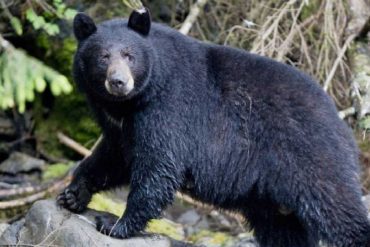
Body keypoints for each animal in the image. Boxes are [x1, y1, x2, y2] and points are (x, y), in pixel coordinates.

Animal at [56, 6, 370, 246]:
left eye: (129, 55)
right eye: (103, 57)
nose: (118, 82)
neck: (131, 103)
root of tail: (342, 125)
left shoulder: (168, 110)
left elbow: (158, 168)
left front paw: (116, 226)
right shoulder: (122, 127)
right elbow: (113, 158)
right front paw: (73, 195)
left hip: (310, 157)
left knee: (336, 207)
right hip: (270, 200)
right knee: (282, 231)